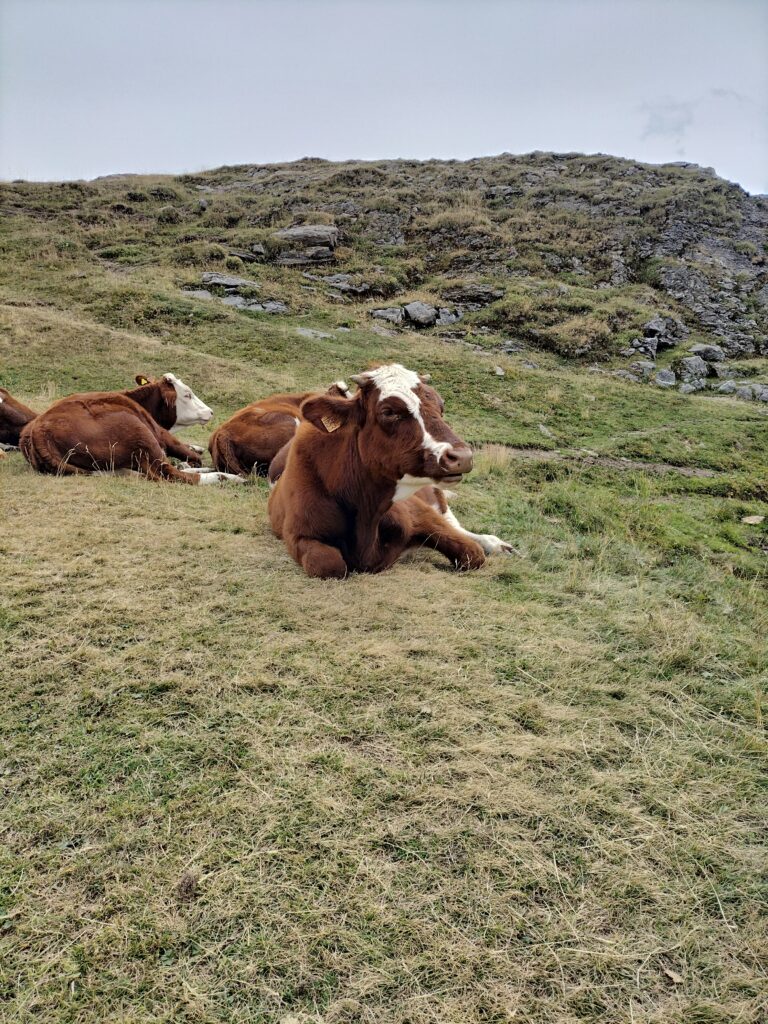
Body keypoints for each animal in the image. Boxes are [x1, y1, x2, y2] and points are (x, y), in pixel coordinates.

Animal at [20, 373, 242, 485]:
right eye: (187, 394)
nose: (210, 412)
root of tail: (37, 430)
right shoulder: (160, 433)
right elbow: (189, 455)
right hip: (139, 431)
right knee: (169, 472)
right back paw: (228, 477)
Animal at [267, 363, 514, 578]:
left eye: (441, 406)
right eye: (389, 412)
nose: (462, 457)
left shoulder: (420, 513)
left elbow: (472, 554)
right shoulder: (298, 535)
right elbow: (329, 565)